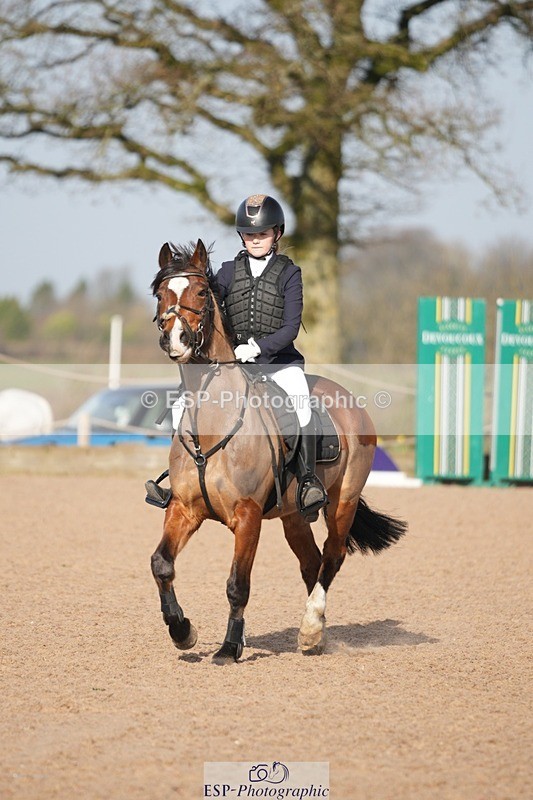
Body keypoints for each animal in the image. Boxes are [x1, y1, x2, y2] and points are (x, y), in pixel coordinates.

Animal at [149, 239, 407, 661]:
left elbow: (238, 584)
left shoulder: (247, 515)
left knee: (332, 557)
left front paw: (230, 647)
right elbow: (161, 564)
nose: (175, 340)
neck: (213, 423)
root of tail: (350, 400)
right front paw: (182, 631)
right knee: (311, 563)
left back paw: (311, 628)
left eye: (201, 292)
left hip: (343, 502)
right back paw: (317, 633)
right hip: (293, 516)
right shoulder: (184, 509)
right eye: (160, 294)